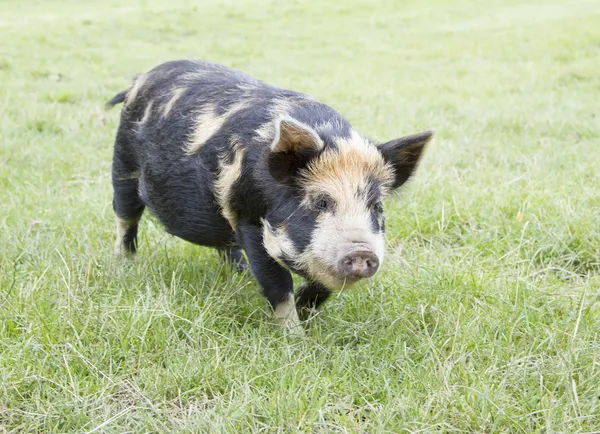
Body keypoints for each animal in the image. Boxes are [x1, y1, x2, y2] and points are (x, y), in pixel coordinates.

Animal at [106, 59, 432, 332]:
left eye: (375, 206)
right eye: (321, 201)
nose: (362, 252)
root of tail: (139, 80)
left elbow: (321, 287)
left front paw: (304, 313)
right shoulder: (249, 219)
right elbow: (277, 282)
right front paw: (294, 336)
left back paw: (240, 273)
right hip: (122, 164)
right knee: (125, 217)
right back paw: (125, 265)